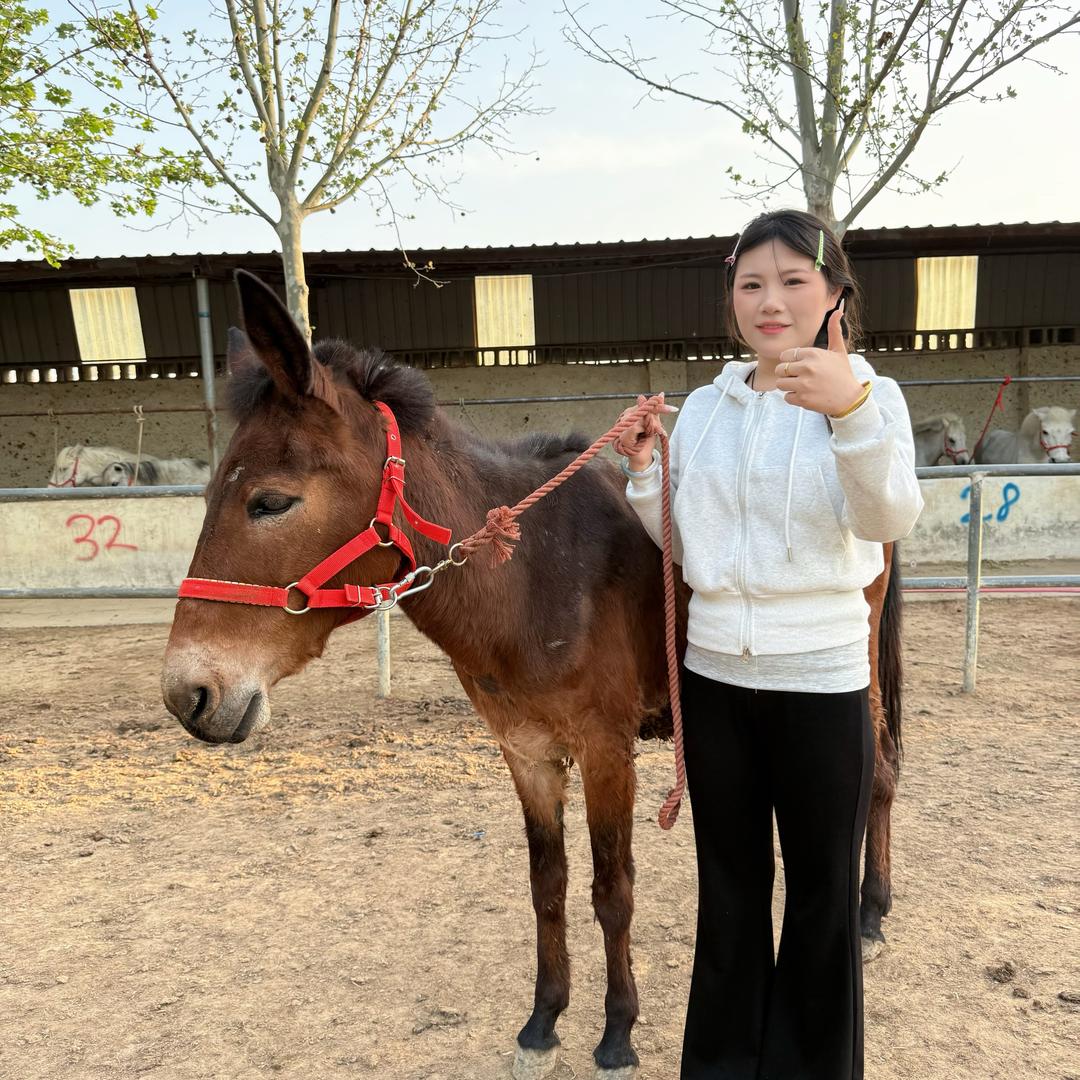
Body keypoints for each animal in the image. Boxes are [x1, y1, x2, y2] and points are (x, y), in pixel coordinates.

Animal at [160, 271, 905, 1079]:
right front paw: (544, 1020)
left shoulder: (606, 751)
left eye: (270, 501)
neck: (529, 577)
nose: (186, 694)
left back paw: (869, 912)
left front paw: (617, 1033)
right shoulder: (526, 753)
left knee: (879, 775)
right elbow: (547, 887)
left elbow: (612, 890)